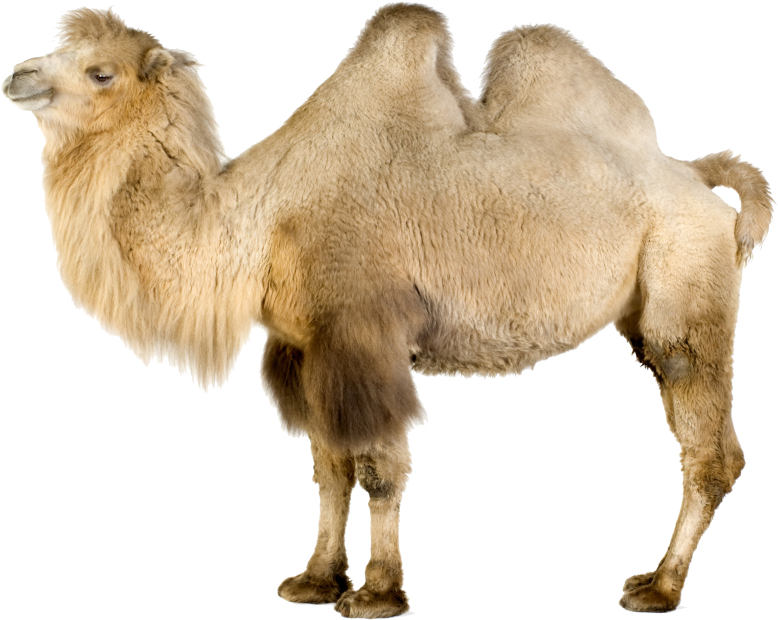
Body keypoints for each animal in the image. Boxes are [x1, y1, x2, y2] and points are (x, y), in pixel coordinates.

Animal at [2, 3, 772, 616]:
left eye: (101, 73)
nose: (18, 76)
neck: (258, 220)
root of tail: (697, 179)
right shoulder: (304, 346)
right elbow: (329, 466)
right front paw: (315, 580)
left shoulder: (361, 337)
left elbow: (378, 467)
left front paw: (376, 593)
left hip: (684, 285)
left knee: (706, 442)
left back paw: (658, 588)